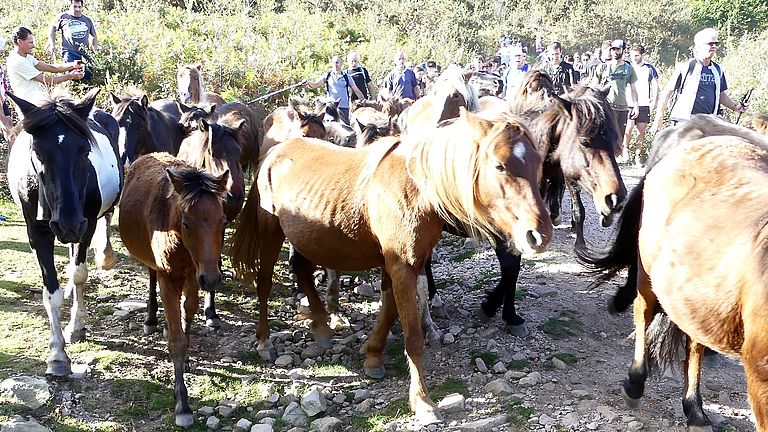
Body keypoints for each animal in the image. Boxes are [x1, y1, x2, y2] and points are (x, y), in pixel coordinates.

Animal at [4, 89, 121, 376]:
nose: (67, 222)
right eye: (37, 151)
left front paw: (76, 326)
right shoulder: (37, 233)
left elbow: (79, 274)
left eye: (85, 150)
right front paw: (57, 355)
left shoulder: (86, 225)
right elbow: (51, 293)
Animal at [118, 153, 230, 428]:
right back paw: (151, 319)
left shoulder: (194, 274)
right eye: (187, 223)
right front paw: (183, 405)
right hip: (154, 265)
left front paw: (187, 356)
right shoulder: (169, 277)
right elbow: (177, 340)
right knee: (151, 279)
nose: (213, 279)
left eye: (223, 222)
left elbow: (187, 312)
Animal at [228, 108, 552, 422]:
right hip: (271, 231)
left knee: (303, 271)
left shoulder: (403, 264)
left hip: (312, 237)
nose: (539, 234)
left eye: (538, 162)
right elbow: (412, 334)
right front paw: (422, 401)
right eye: (499, 166)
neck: (418, 189)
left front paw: (372, 354)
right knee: (265, 282)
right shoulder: (401, 266)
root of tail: (275, 152)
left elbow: (389, 309)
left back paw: (321, 325)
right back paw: (265, 341)